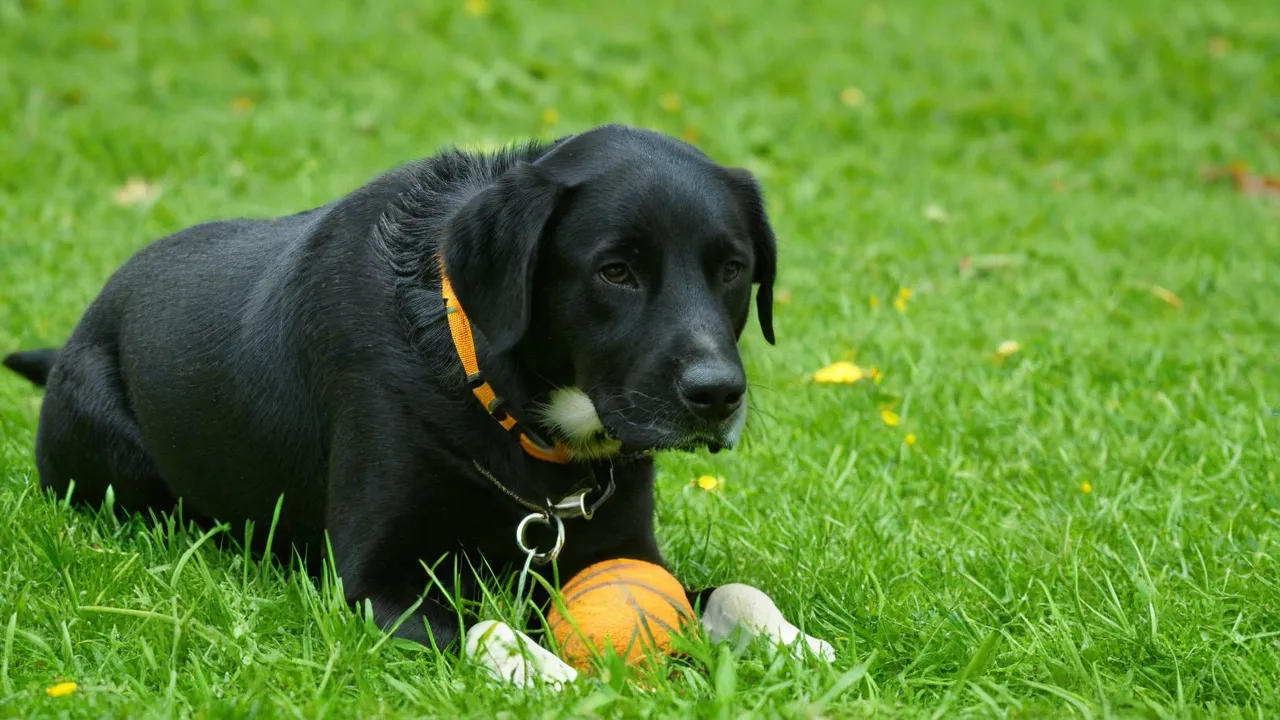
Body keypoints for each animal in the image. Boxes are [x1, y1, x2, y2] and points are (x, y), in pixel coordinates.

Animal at [2, 122, 778, 650]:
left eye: (732, 268)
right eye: (615, 271)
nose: (717, 394)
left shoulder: (619, 552)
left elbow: (740, 594)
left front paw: (796, 649)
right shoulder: (372, 583)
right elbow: (488, 629)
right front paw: (552, 677)